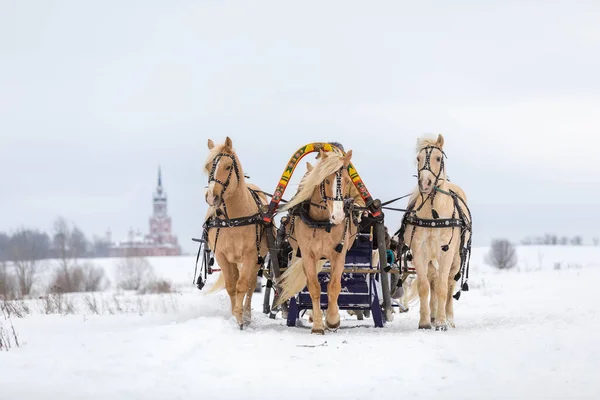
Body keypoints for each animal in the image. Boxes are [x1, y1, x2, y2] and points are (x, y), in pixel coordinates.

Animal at [204, 138, 270, 328]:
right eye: (209, 166)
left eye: (227, 166)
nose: (211, 197)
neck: (233, 220)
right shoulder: (222, 256)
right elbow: (231, 286)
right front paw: (234, 314)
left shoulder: (250, 255)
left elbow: (243, 285)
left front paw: (241, 318)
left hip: (257, 259)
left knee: (250, 284)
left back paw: (247, 315)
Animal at [274, 148, 366, 332]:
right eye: (326, 180)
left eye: (347, 180)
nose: (338, 216)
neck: (322, 222)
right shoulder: (308, 255)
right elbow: (314, 288)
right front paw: (317, 324)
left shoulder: (339, 255)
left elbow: (334, 287)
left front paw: (332, 319)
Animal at [398, 134, 474, 332]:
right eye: (418, 158)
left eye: (438, 158)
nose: (425, 183)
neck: (433, 212)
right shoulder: (419, 251)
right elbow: (425, 286)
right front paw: (425, 321)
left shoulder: (446, 252)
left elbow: (442, 286)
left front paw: (441, 322)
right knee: (432, 281)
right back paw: (432, 316)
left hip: (457, 258)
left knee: (449, 284)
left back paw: (449, 318)